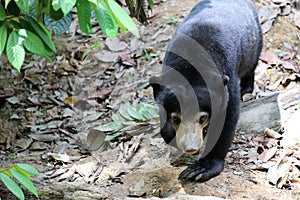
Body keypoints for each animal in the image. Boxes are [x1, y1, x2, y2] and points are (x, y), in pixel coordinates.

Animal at [150, 0, 262, 183]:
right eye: (176, 118)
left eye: (202, 117)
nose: (190, 148)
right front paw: (169, 134)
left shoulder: (227, 81)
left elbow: (227, 120)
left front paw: (198, 170)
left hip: (254, 42)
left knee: (250, 66)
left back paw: (246, 89)